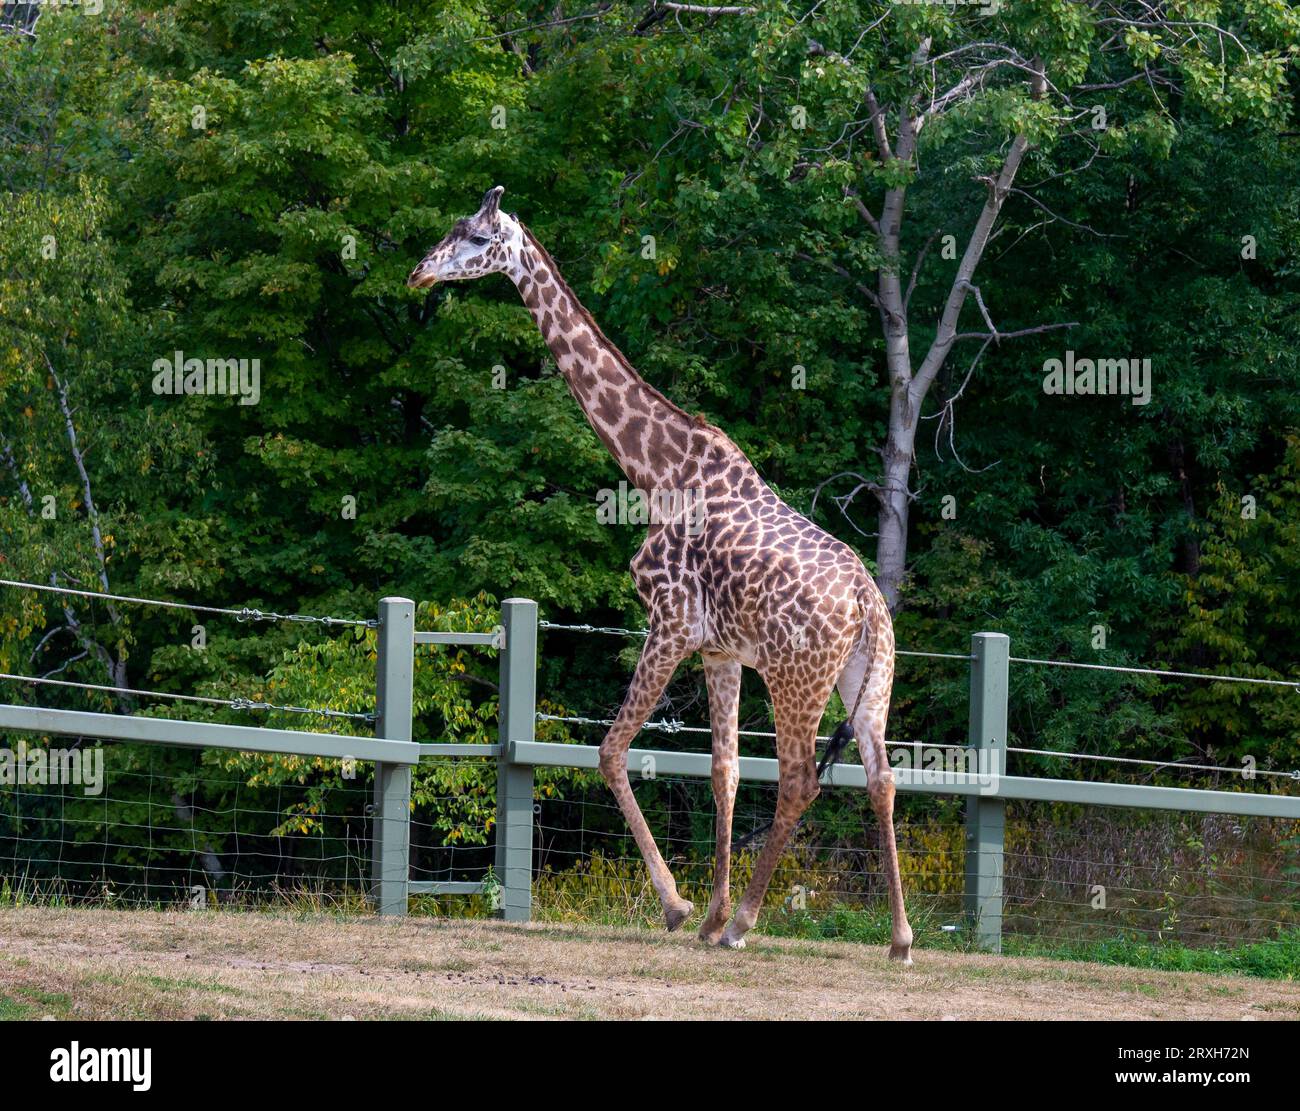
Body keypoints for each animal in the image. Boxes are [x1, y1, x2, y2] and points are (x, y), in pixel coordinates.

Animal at [408, 187, 915, 961]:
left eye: (472, 236)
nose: (419, 273)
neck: (655, 471)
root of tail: (865, 597)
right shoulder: (720, 649)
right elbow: (722, 773)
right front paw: (706, 911)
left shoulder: (669, 621)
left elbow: (611, 751)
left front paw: (681, 907)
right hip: (869, 675)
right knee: (881, 776)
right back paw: (898, 937)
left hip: (797, 676)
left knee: (800, 779)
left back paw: (746, 925)